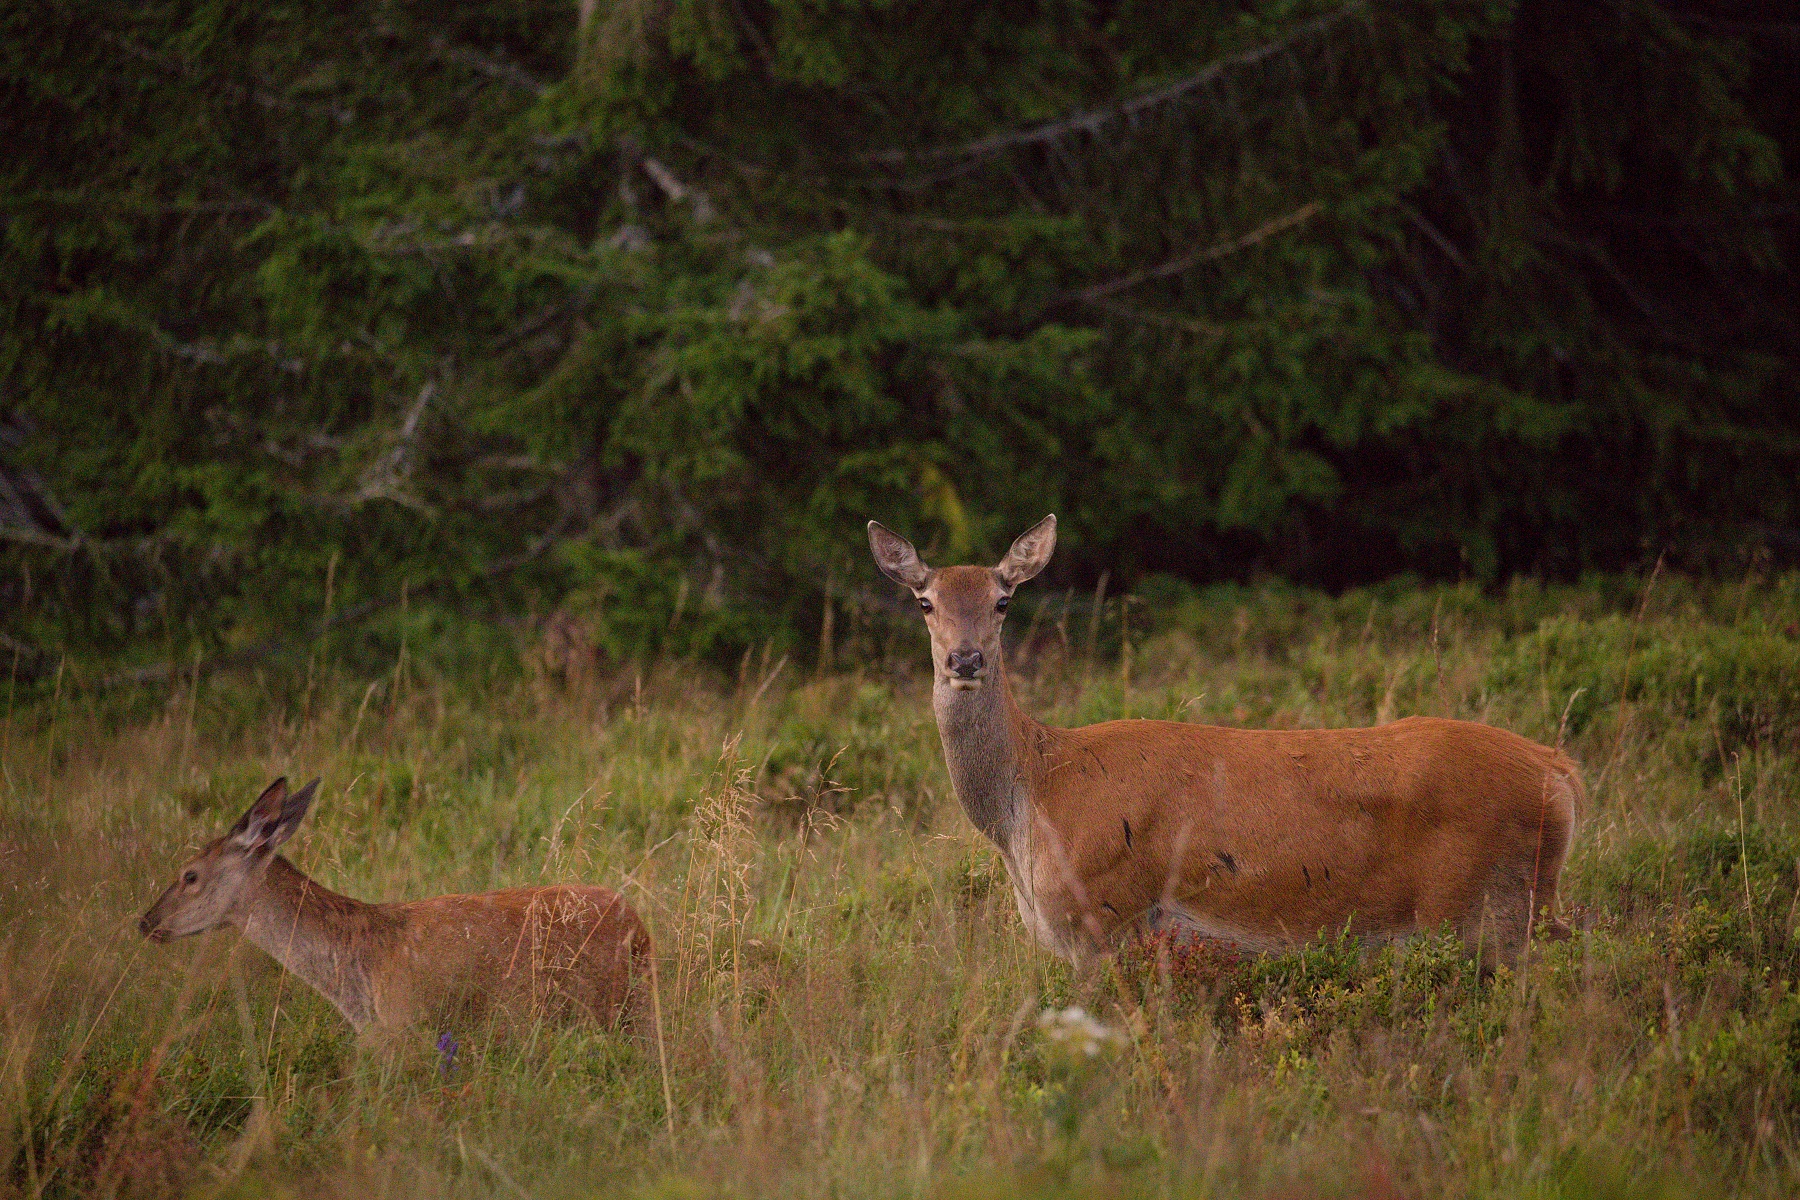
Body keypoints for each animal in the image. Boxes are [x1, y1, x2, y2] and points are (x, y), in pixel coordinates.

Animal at [867, 510, 1576, 971]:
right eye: (926, 601)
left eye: (1004, 599)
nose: (965, 659)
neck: (1034, 798)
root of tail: (1562, 773)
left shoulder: (1103, 914)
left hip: (1484, 907)